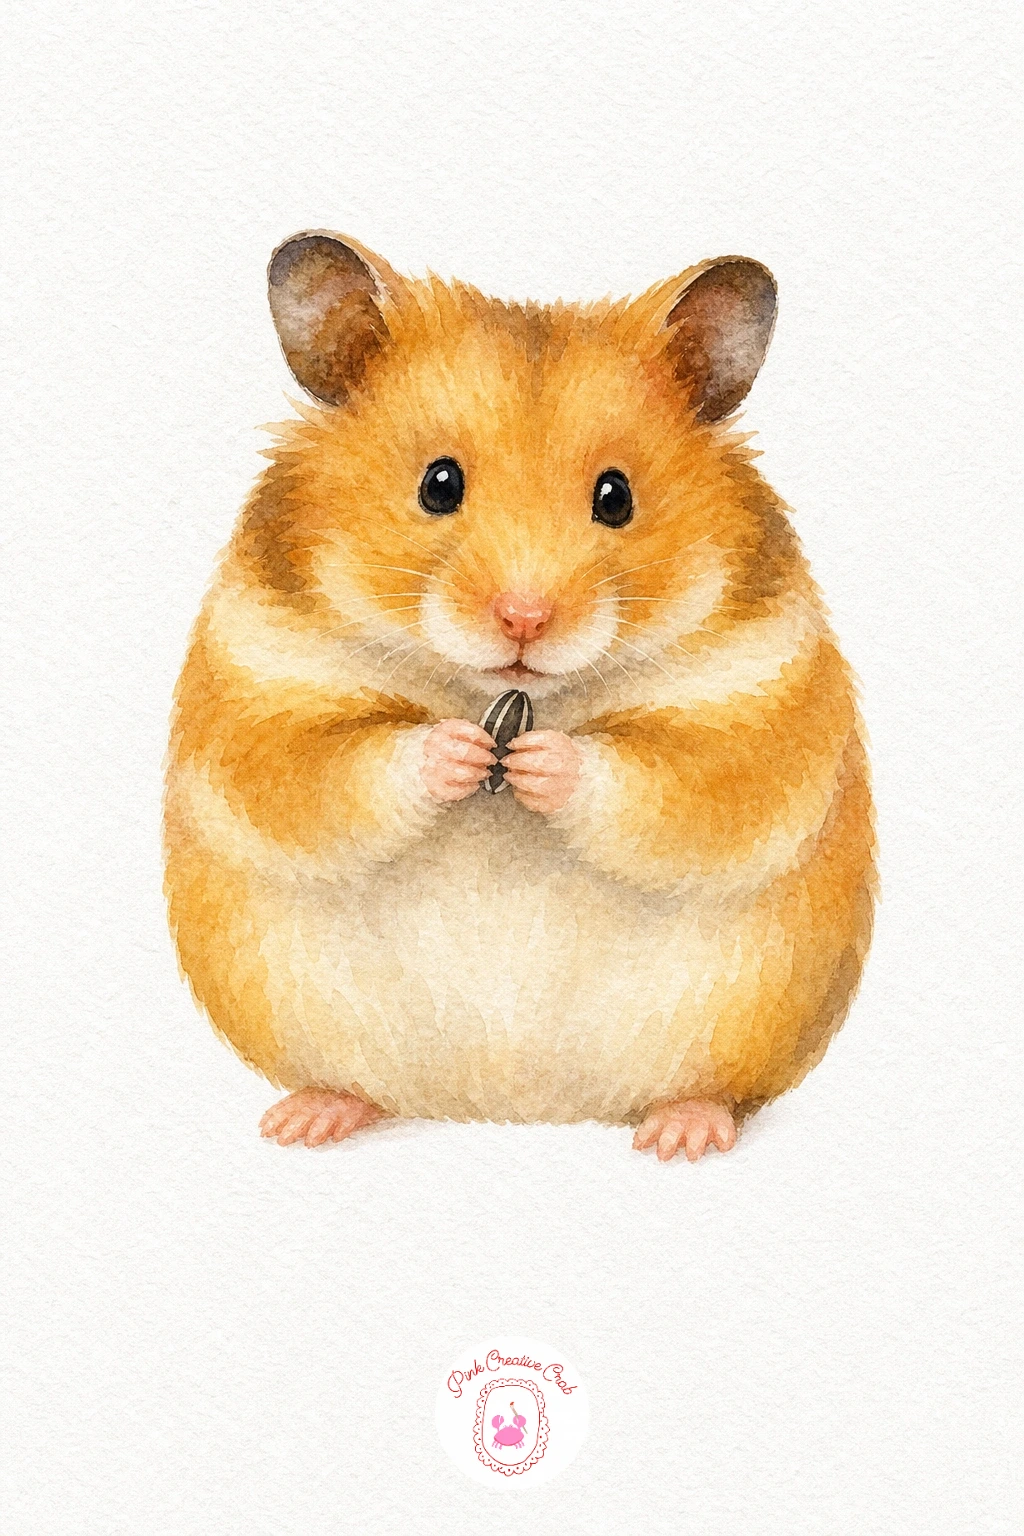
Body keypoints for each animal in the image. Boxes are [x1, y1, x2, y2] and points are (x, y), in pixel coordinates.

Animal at [163, 231, 876, 1161]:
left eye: (616, 496)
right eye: (438, 484)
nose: (524, 619)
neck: (504, 694)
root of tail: (510, 1107)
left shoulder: (759, 708)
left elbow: (680, 786)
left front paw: (538, 760)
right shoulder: (256, 693)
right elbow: (325, 772)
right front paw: (462, 751)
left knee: (714, 1090)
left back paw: (681, 1136)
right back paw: (305, 1121)